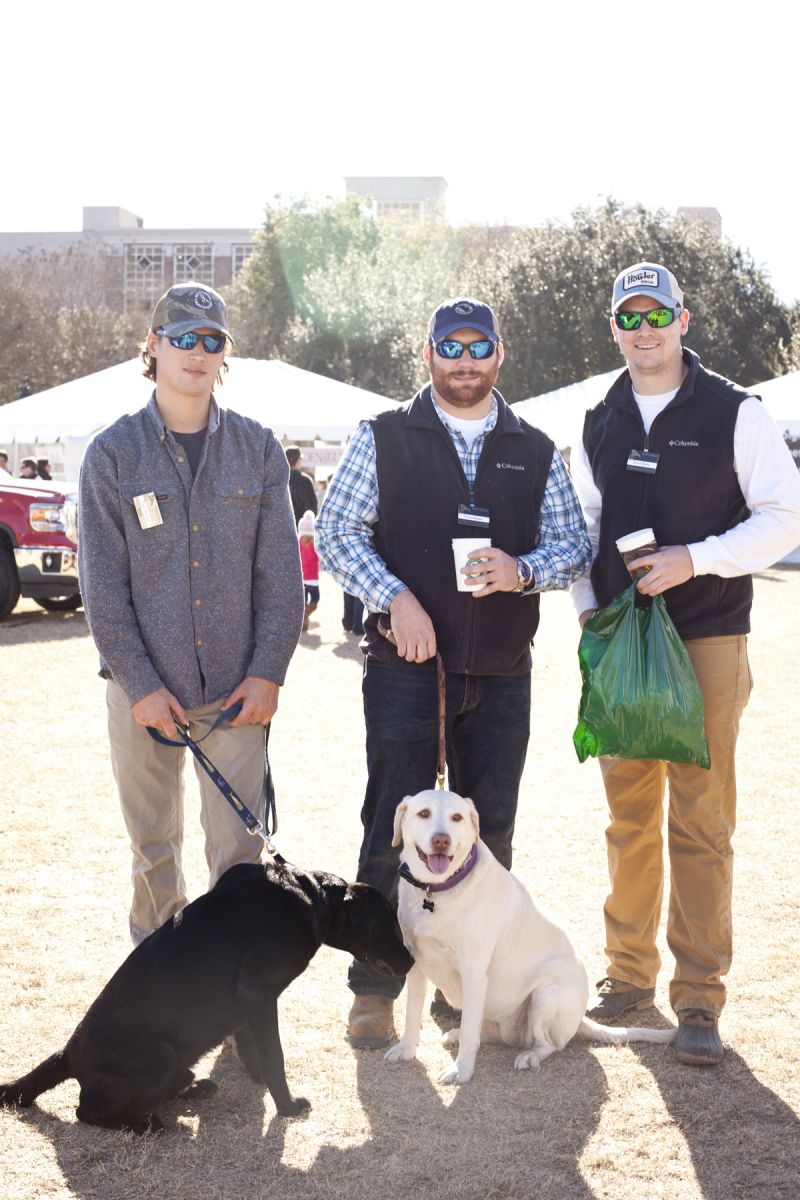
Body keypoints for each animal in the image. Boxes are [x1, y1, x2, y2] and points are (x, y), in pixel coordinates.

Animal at [0, 864, 412, 1132]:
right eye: (388, 924)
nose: (411, 960)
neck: (311, 896)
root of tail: (68, 1051)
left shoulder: (247, 1003)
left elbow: (253, 1049)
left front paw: (259, 1082)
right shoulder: (259, 995)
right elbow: (275, 1056)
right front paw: (287, 1107)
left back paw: (195, 1089)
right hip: (161, 1056)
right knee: (84, 1111)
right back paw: (147, 1124)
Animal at [386, 787, 676, 1089]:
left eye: (457, 817)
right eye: (424, 813)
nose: (442, 840)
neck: (436, 892)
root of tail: (580, 1019)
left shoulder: (474, 972)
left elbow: (468, 1034)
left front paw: (461, 1071)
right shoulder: (416, 963)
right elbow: (412, 1014)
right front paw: (406, 1050)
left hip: (544, 996)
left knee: (548, 1044)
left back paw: (529, 1056)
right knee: (485, 1032)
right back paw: (459, 1034)